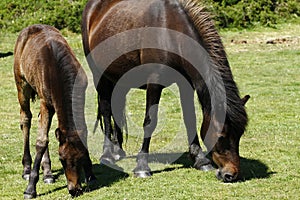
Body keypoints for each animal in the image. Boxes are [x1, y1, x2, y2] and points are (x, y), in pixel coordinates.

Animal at [14, 24, 96, 198]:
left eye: (80, 159)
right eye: (62, 160)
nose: (74, 190)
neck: (57, 69)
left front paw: (91, 174)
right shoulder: (45, 102)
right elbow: (41, 141)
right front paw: (30, 189)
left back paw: (48, 173)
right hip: (21, 85)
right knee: (26, 119)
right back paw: (27, 169)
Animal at [81, 0, 250, 182]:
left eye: (240, 134)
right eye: (221, 136)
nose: (231, 174)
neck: (170, 34)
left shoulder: (186, 84)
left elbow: (189, 118)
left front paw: (200, 159)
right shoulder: (154, 83)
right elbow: (150, 122)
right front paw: (142, 167)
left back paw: (118, 150)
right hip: (100, 76)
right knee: (106, 111)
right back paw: (107, 155)